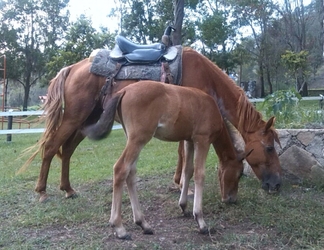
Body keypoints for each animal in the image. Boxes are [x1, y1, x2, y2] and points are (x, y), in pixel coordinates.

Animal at [24, 47, 280, 203]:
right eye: (269, 148)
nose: (275, 185)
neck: (206, 77)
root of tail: (72, 68)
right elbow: (182, 153)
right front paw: (181, 184)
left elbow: (180, 152)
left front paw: (177, 183)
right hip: (73, 118)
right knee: (50, 148)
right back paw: (42, 191)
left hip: (87, 121)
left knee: (66, 150)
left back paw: (68, 189)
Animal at [82, 80, 252, 238]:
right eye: (240, 174)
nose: (231, 199)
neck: (212, 108)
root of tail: (123, 91)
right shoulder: (202, 139)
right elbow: (199, 174)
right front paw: (200, 221)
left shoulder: (189, 140)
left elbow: (188, 171)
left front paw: (183, 206)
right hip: (139, 138)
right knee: (121, 169)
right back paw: (119, 227)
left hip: (132, 138)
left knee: (131, 172)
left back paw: (143, 223)